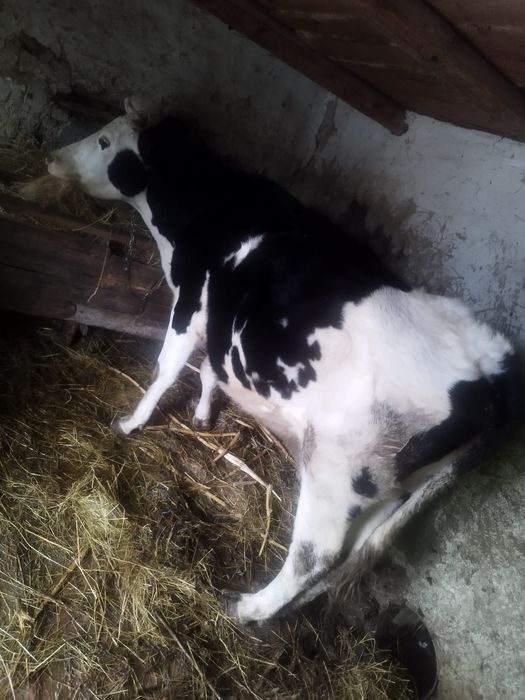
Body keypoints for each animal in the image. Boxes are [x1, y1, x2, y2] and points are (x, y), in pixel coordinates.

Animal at [47, 97, 524, 624]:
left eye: (104, 140)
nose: (52, 157)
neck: (209, 206)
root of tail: (493, 365)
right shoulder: (220, 317)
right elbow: (212, 368)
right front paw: (203, 416)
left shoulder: (190, 301)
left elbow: (166, 368)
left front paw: (131, 423)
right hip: (391, 483)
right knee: (358, 548)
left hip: (336, 469)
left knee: (318, 554)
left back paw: (249, 608)